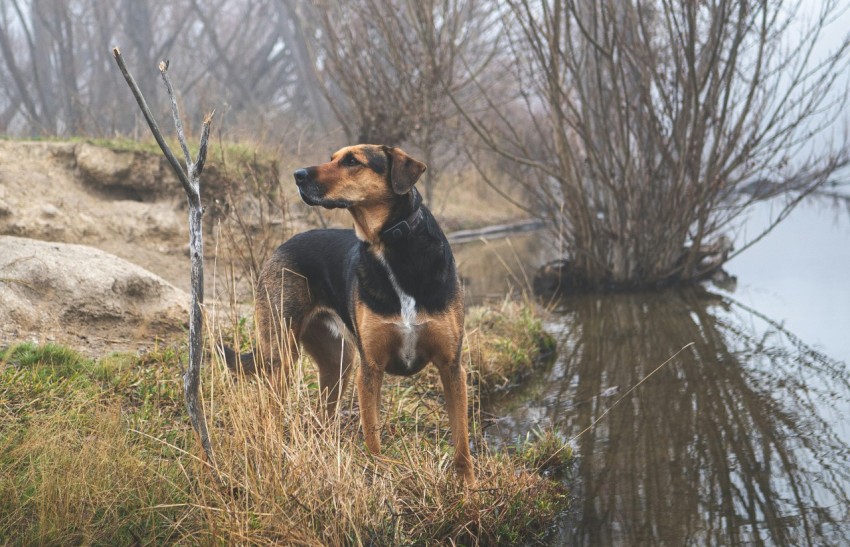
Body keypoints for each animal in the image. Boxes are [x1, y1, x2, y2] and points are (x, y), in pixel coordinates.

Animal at [225, 143, 474, 482]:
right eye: (332, 158)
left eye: (352, 161)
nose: (297, 175)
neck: (388, 245)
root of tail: (283, 244)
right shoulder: (370, 368)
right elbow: (372, 432)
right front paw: (380, 471)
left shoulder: (451, 366)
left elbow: (461, 437)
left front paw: (467, 485)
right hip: (283, 354)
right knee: (273, 409)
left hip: (338, 362)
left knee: (323, 417)